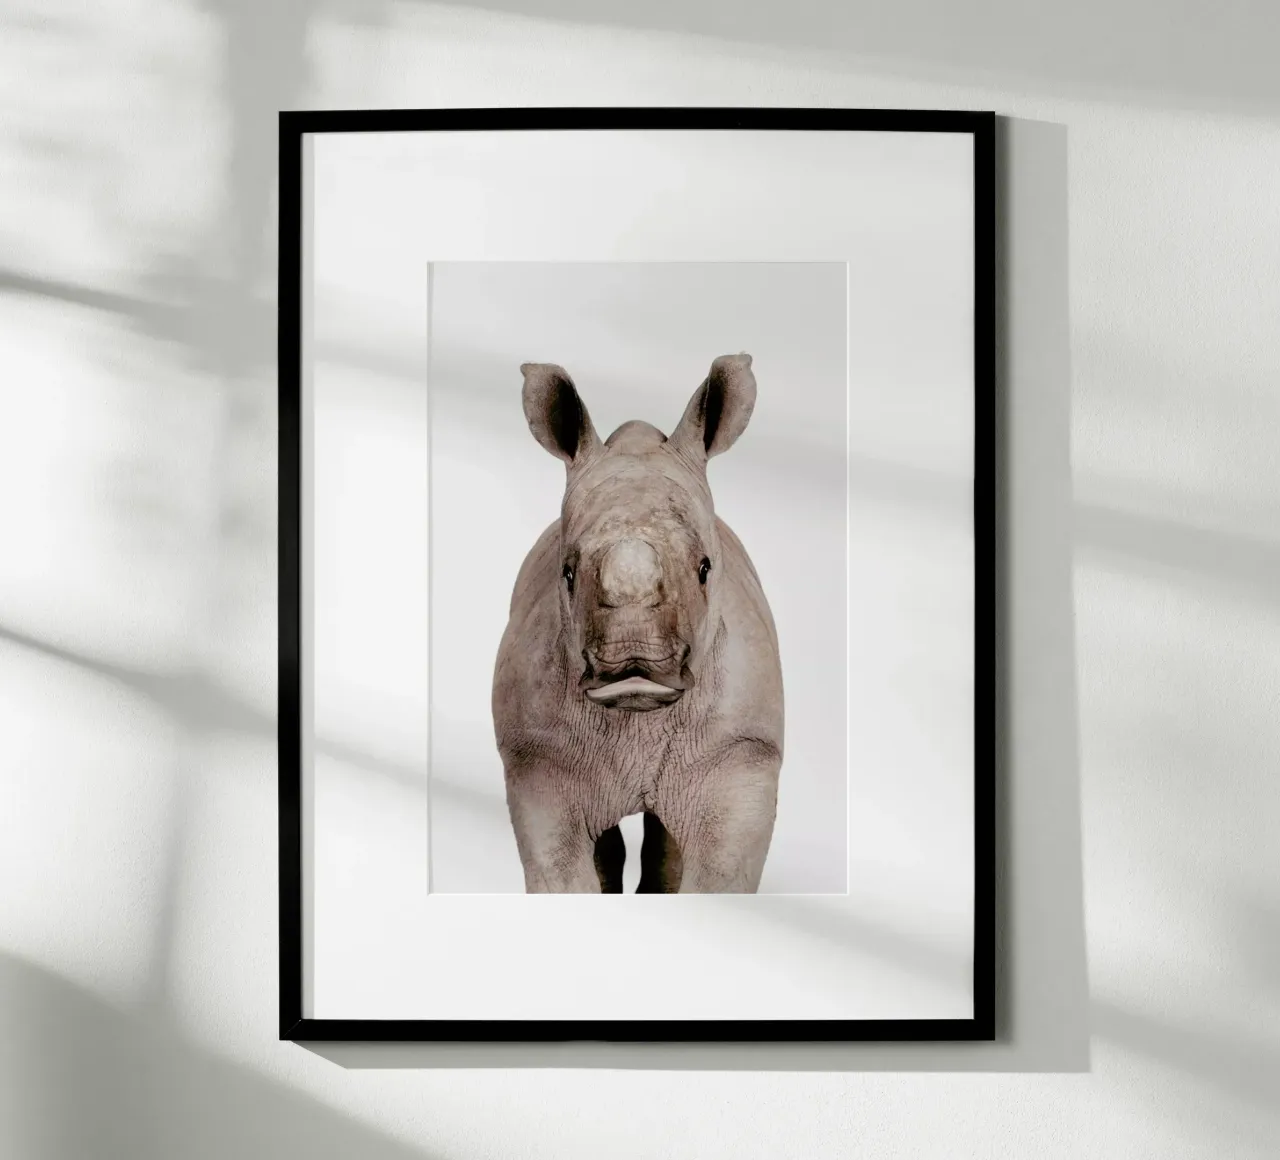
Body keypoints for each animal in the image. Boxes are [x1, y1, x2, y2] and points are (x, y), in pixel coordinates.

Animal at [492, 353, 784, 893]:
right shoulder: (537, 758)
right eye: (566, 574)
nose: (634, 665)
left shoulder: (740, 754)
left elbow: (719, 874)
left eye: (705, 568)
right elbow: (561, 871)